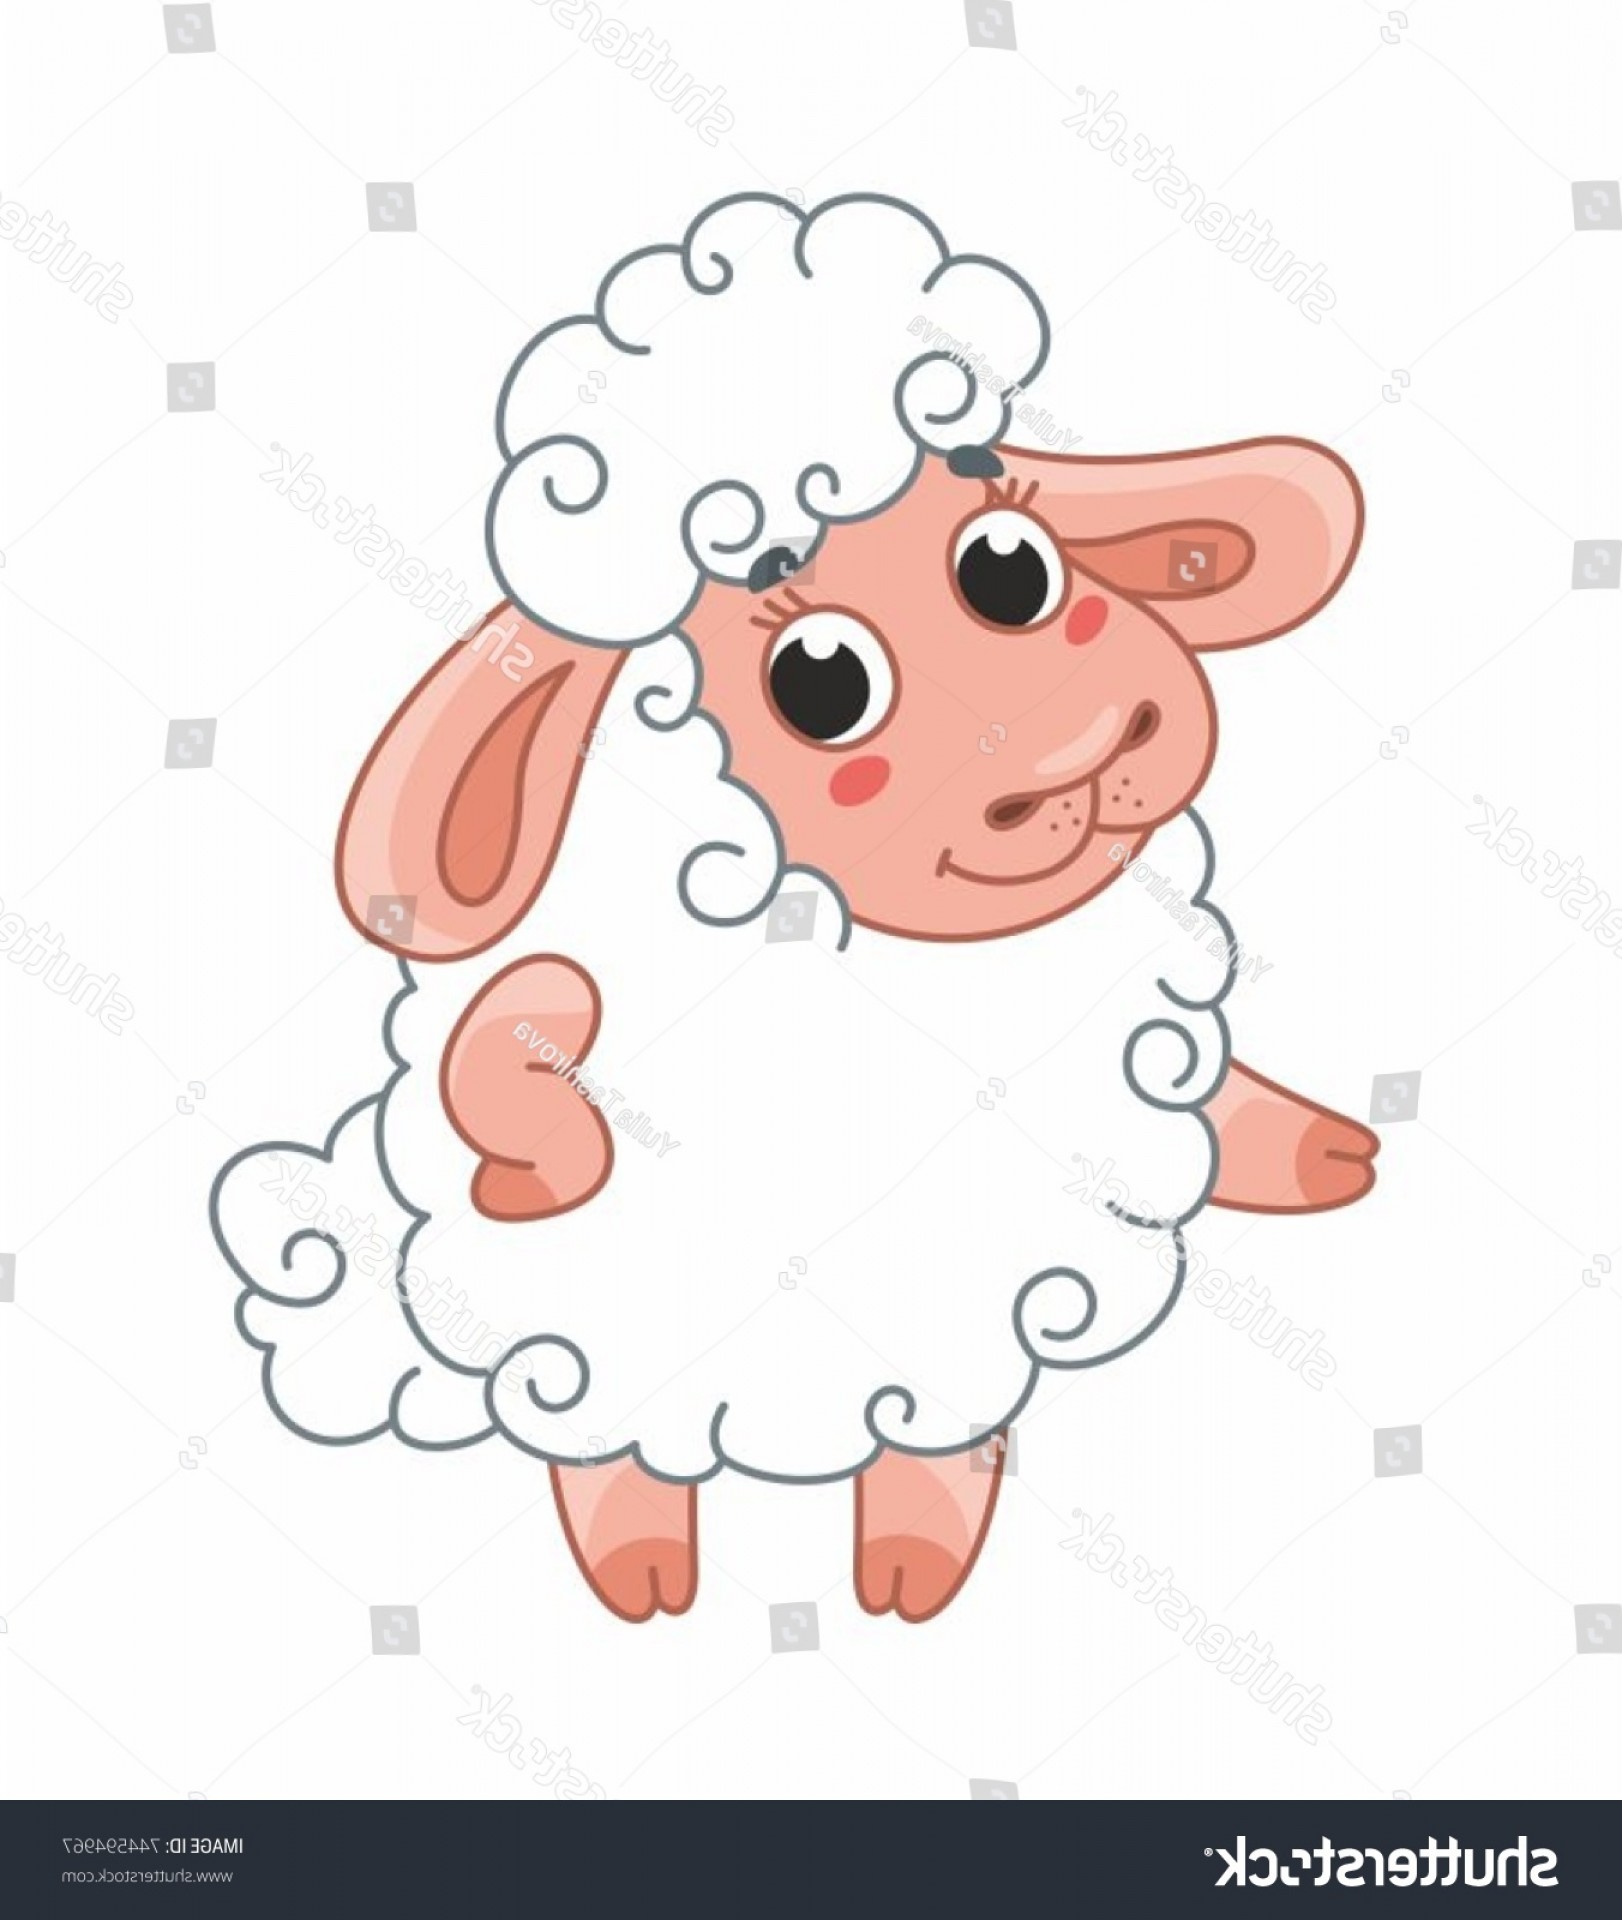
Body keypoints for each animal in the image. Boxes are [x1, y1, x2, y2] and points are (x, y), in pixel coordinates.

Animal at [211, 192, 1376, 1624]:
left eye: (1009, 566)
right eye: (820, 682)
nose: (1078, 755)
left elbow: (1201, 1099)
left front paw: (1315, 1152)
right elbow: (527, 1048)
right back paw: (649, 1564)